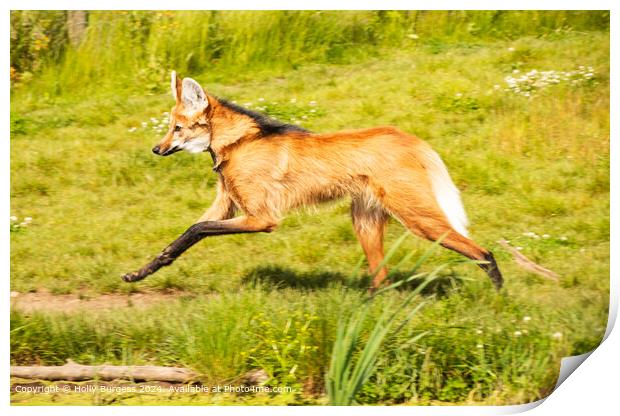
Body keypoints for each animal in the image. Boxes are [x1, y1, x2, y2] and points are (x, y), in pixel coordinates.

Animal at [122, 71, 504, 290]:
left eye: (177, 128)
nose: (157, 149)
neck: (238, 143)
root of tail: (409, 137)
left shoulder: (262, 218)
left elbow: (197, 229)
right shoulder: (227, 204)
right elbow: (183, 237)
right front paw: (138, 274)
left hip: (417, 217)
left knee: (482, 252)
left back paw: (498, 297)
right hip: (365, 221)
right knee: (381, 280)